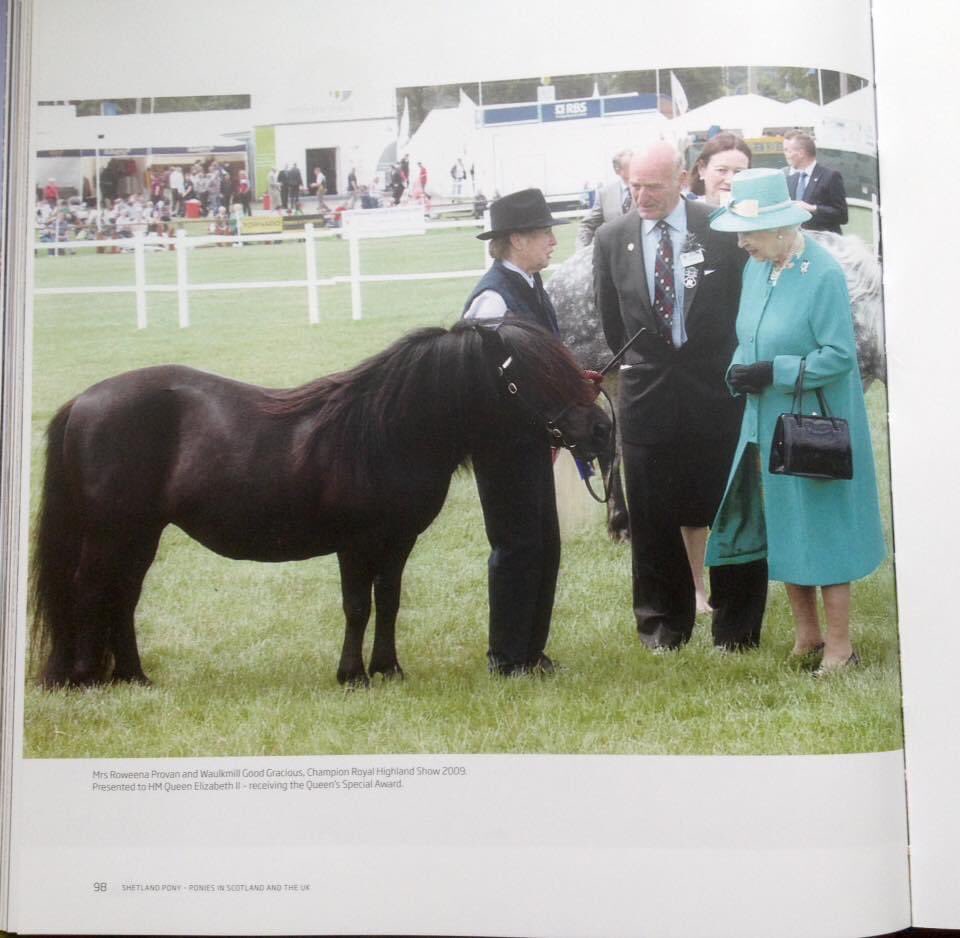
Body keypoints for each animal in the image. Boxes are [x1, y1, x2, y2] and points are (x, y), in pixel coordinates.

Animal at [33, 320, 612, 688]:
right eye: (528, 378)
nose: (602, 430)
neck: (388, 432)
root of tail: (82, 402)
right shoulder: (354, 544)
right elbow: (357, 605)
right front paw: (352, 675)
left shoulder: (397, 542)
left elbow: (388, 601)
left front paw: (388, 669)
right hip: (110, 533)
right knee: (90, 590)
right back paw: (84, 679)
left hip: (140, 533)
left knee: (123, 596)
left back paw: (133, 676)